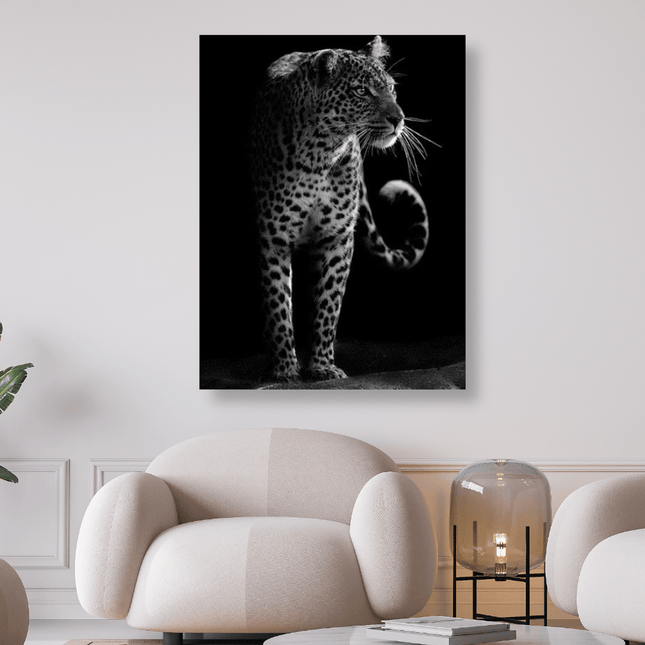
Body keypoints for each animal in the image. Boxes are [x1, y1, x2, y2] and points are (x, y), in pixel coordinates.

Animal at [249, 36, 430, 383]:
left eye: (391, 88)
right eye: (362, 91)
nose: (399, 119)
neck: (320, 152)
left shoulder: (337, 238)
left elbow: (328, 303)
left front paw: (321, 365)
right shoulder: (273, 237)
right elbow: (277, 303)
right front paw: (284, 369)